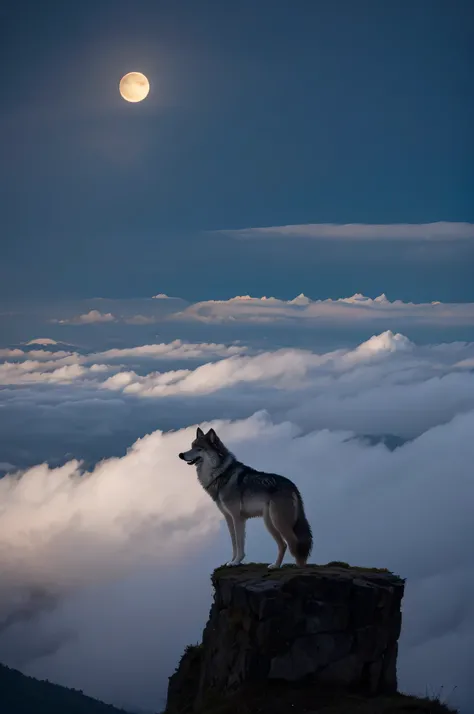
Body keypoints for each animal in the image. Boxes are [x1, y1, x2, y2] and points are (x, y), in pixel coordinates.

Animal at [178, 422, 312, 568]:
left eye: (199, 449)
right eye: (191, 446)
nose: (181, 454)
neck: (220, 473)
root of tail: (293, 486)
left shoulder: (237, 517)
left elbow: (239, 543)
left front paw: (236, 561)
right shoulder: (229, 518)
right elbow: (234, 543)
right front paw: (231, 561)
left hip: (279, 522)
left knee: (294, 544)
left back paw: (298, 566)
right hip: (270, 523)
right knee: (283, 545)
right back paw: (275, 566)